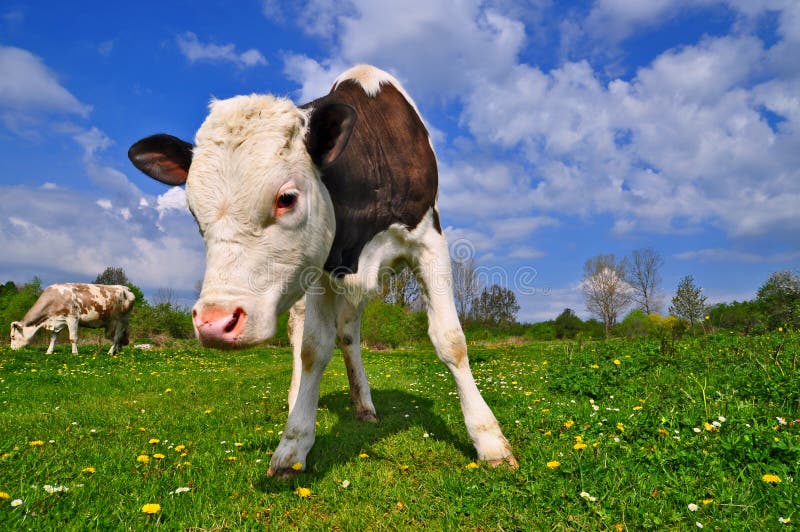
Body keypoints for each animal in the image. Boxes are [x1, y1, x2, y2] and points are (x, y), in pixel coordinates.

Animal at [128, 64, 516, 476]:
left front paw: (489, 439)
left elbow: (451, 340)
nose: (214, 322)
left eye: (286, 198)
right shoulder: (318, 270)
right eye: (192, 211)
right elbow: (312, 349)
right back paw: (299, 398)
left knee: (348, 334)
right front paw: (294, 442)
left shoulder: (429, 240)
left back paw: (364, 405)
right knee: (303, 335)